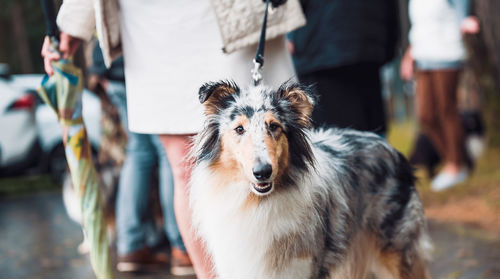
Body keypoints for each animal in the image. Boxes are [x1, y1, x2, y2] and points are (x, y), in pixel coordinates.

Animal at [189, 81, 432, 279]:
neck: (256, 203)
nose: (263, 172)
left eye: (274, 126)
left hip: (396, 251)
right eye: (239, 129)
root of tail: (393, 150)